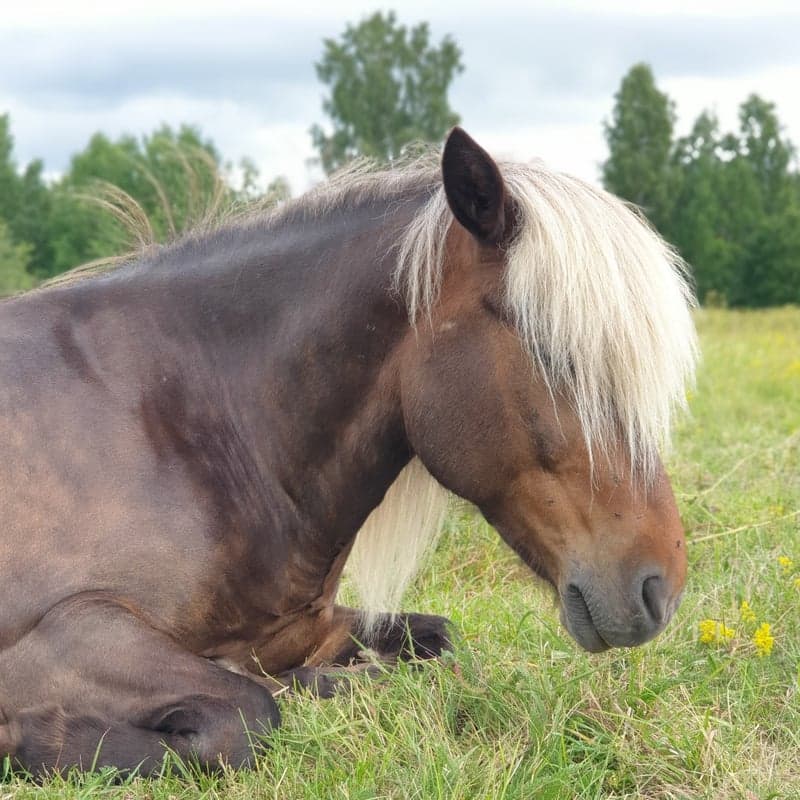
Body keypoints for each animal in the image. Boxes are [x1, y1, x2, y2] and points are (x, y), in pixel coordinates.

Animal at [0, 126, 696, 776]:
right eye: (556, 355)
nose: (659, 590)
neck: (197, 429)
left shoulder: (314, 627)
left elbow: (436, 644)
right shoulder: (66, 632)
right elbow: (248, 712)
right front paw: (32, 738)